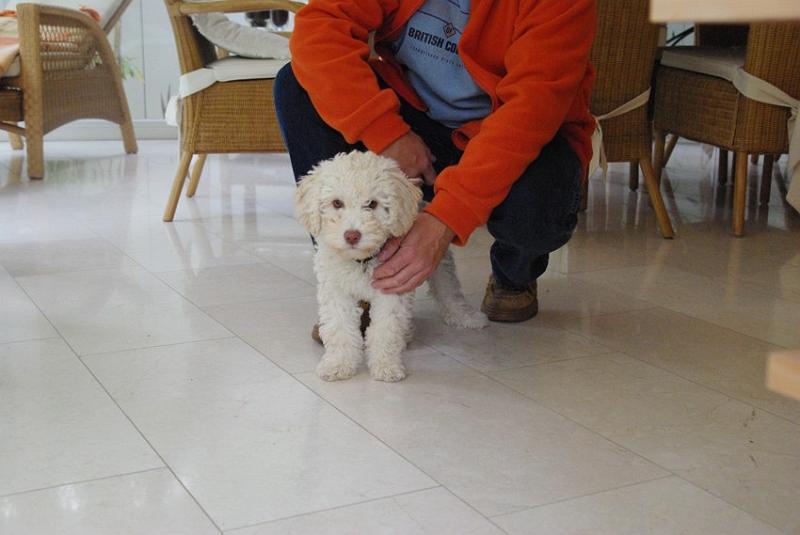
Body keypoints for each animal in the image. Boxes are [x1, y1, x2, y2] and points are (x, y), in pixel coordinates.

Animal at [295, 151, 487, 383]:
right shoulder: (336, 289)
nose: (352, 235)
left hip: (437, 258)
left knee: (448, 287)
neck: (362, 260)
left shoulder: (393, 286)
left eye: (372, 204)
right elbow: (339, 327)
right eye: (337, 203)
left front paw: (386, 366)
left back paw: (464, 315)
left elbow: (386, 329)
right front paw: (338, 364)